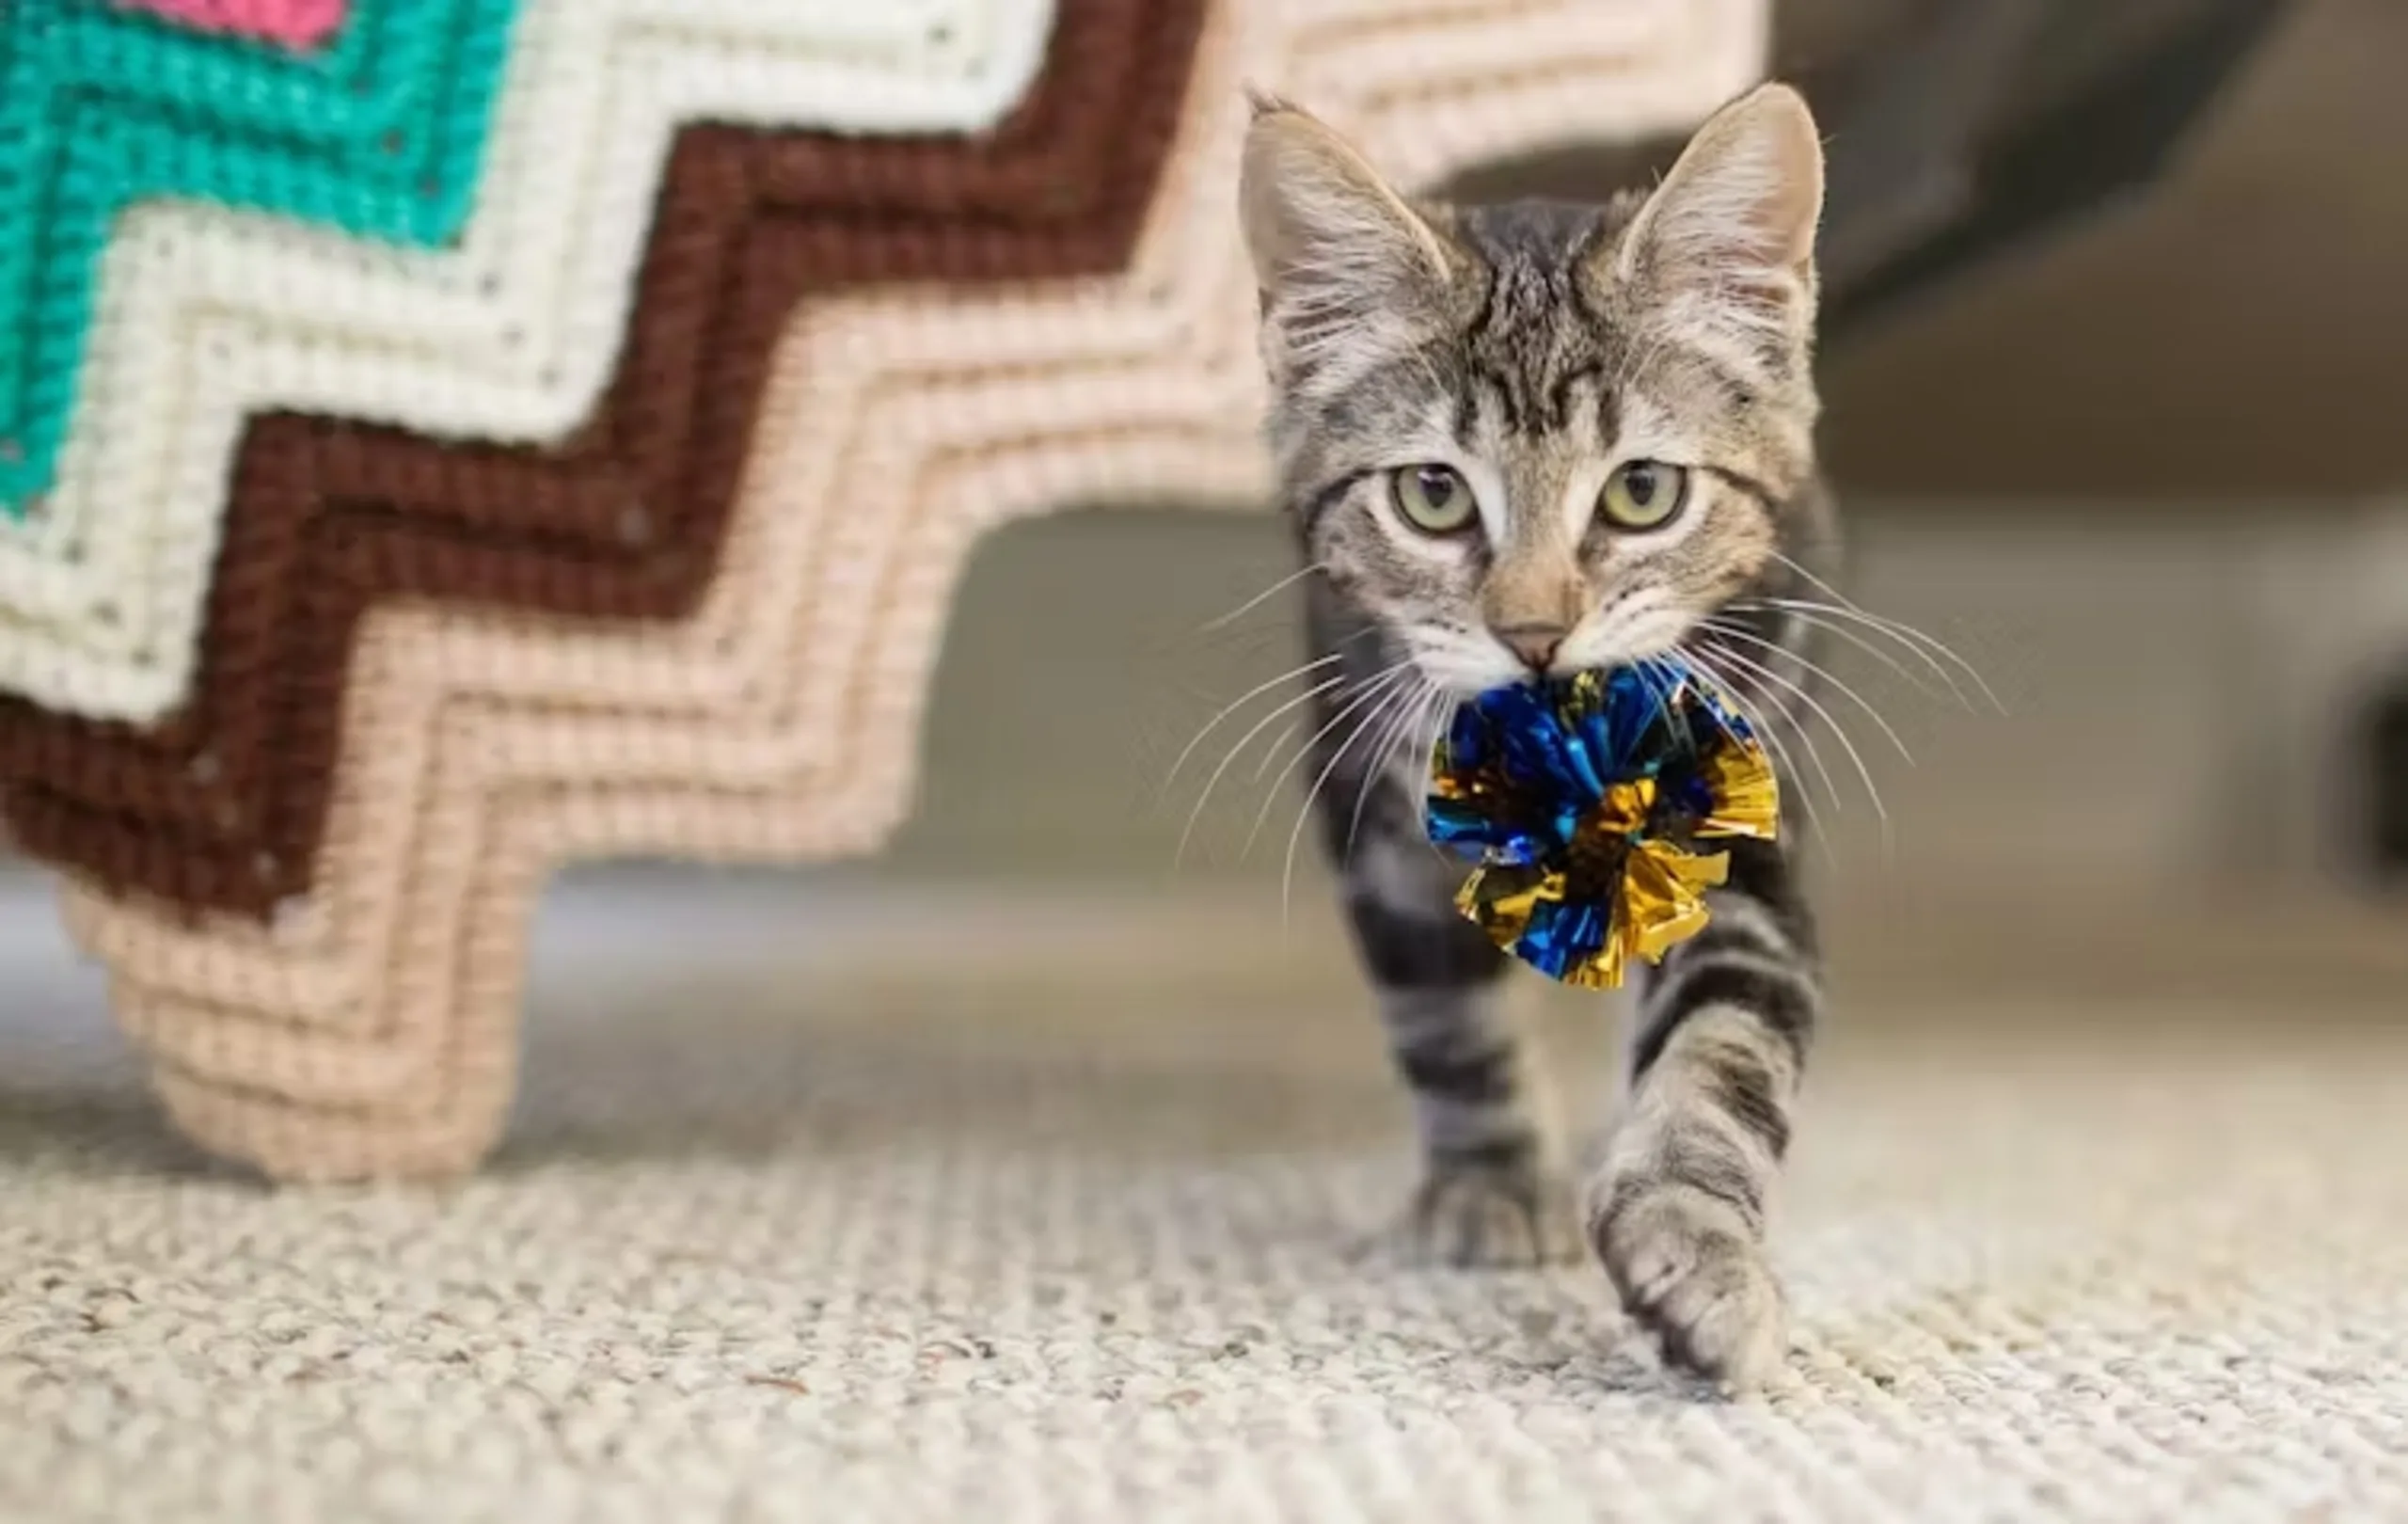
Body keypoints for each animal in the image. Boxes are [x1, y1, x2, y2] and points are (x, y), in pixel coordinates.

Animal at [1242, 86, 1820, 1387]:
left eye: (1644, 492)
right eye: (1433, 495)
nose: (1534, 633)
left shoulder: (1736, 819)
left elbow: (1725, 1042)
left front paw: (1698, 1249)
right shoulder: (1374, 813)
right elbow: (1445, 1017)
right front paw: (1493, 1184)